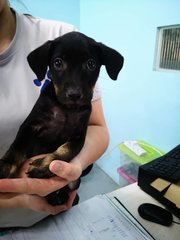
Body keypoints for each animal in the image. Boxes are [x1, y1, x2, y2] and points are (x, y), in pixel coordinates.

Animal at [0, 31, 124, 204]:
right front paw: (5, 167)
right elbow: (17, 147)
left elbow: (66, 151)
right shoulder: (29, 126)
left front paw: (44, 166)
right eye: (58, 63)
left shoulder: (78, 136)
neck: (66, 109)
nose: (74, 94)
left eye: (91, 64)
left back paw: (59, 195)